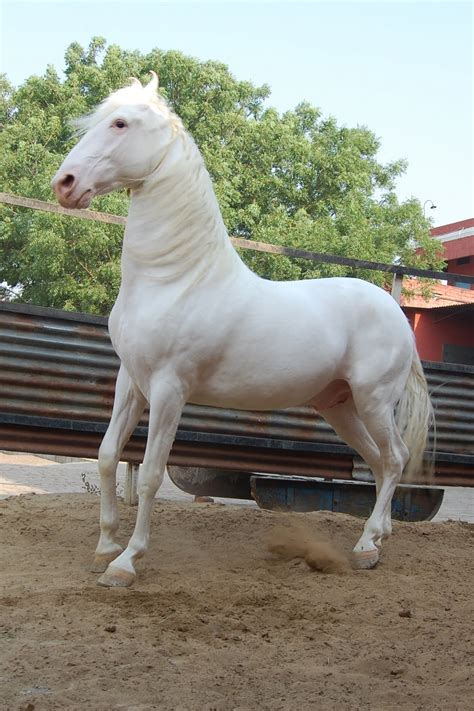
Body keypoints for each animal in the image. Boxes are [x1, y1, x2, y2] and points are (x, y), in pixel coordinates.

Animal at [51, 72, 434, 588]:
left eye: (120, 123)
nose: (65, 184)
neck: (176, 279)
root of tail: (396, 313)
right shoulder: (131, 381)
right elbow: (109, 454)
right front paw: (105, 547)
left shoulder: (169, 389)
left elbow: (150, 473)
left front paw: (126, 563)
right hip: (340, 407)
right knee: (377, 462)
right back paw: (379, 538)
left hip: (373, 400)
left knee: (393, 459)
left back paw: (366, 548)